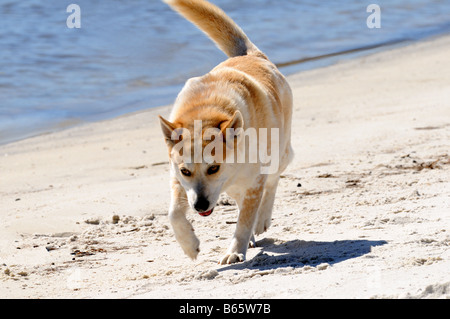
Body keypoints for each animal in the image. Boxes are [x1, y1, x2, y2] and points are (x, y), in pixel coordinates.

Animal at [160, 0, 294, 264]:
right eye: (186, 171)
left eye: (214, 168)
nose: (200, 206)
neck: (206, 114)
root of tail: (251, 55)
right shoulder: (176, 178)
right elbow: (174, 213)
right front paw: (189, 246)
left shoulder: (254, 180)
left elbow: (244, 220)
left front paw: (235, 250)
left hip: (279, 153)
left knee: (271, 182)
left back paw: (261, 220)